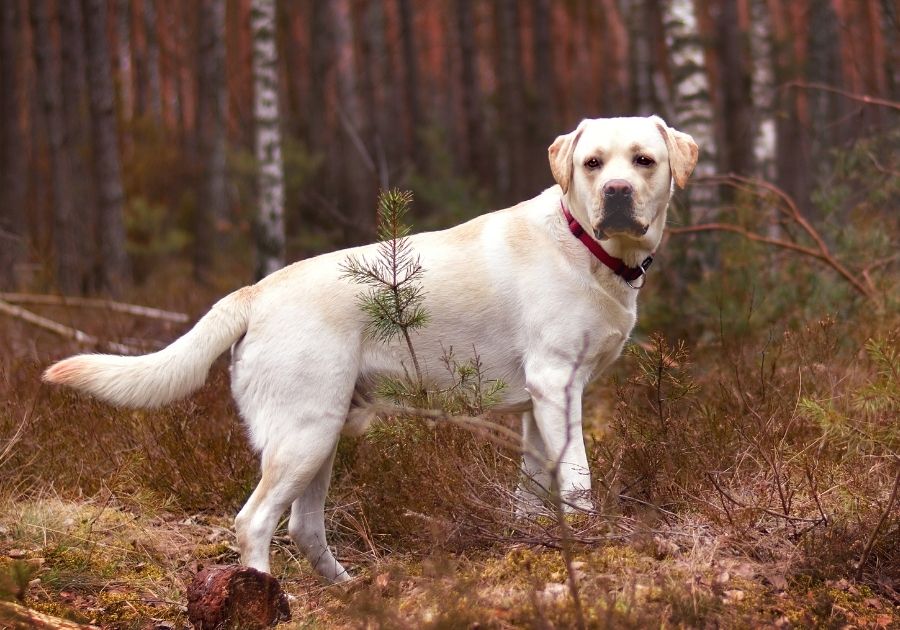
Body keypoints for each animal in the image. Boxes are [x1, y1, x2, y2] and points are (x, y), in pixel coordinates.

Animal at [45, 116, 700, 584]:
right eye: (592, 164)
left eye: (644, 160)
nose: (617, 191)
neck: (587, 245)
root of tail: (255, 292)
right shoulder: (557, 384)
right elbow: (578, 480)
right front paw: (594, 543)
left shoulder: (539, 407)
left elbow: (533, 493)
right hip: (303, 436)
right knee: (254, 522)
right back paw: (266, 597)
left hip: (322, 436)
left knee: (303, 527)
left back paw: (349, 589)